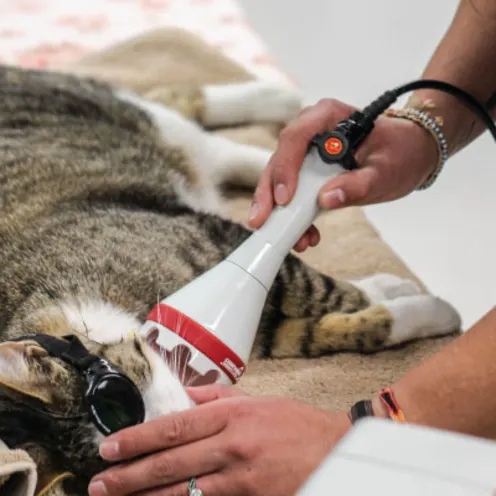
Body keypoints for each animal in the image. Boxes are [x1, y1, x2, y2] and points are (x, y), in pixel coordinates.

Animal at [0, 66, 462, 496]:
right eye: (127, 459)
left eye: (119, 403)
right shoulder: (256, 337)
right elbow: (331, 330)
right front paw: (413, 309)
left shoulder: (215, 236)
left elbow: (321, 287)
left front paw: (411, 297)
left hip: (146, 129)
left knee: (190, 120)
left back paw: (289, 117)